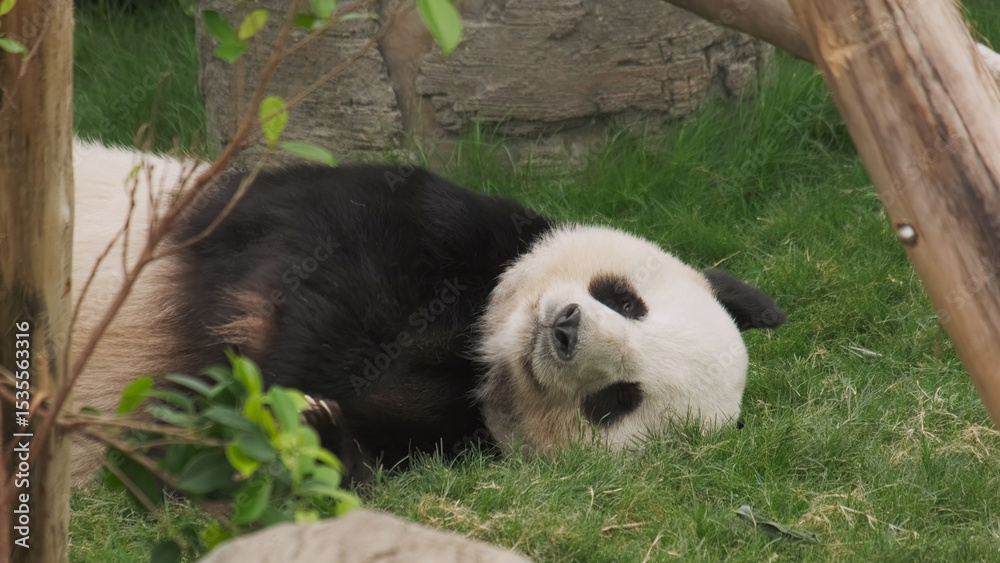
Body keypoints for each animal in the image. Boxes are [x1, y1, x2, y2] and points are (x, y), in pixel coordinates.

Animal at [70, 141, 785, 487]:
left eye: (617, 401)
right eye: (626, 301)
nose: (564, 330)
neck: (478, 354)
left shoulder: (447, 433)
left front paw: (305, 427)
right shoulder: (416, 217)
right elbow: (324, 266)